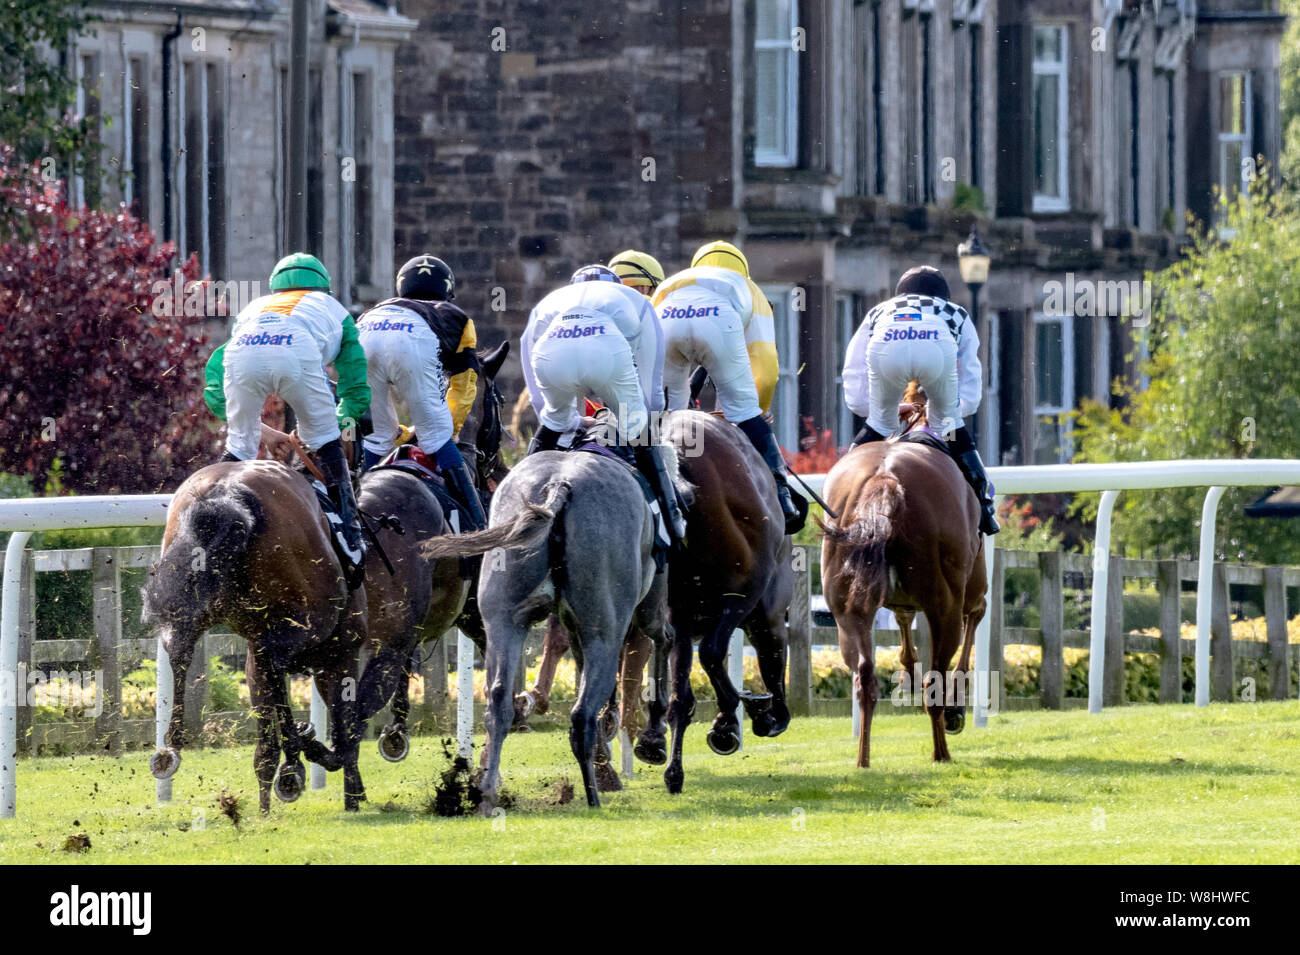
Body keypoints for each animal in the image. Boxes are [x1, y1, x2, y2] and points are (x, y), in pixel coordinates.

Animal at [140, 462, 369, 815]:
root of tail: (225, 492)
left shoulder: (254, 654)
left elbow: (267, 734)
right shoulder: (342, 652)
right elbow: (346, 734)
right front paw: (335, 774)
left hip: (190, 598)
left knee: (178, 648)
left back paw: (171, 747)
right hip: (307, 623)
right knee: (274, 664)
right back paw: (295, 758)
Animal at [426, 446, 676, 805]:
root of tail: (560, 486)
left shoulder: (570, 626)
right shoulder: (646, 607)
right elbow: (663, 640)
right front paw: (653, 738)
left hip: (505, 623)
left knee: (498, 701)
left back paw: (487, 792)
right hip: (606, 632)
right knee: (582, 713)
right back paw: (594, 796)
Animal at [821, 384, 982, 764]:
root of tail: (887, 476)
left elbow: (905, 625)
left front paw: (907, 666)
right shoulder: (973, 591)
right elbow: (973, 621)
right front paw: (956, 710)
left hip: (843, 609)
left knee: (864, 677)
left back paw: (863, 760)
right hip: (945, 604)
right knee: (934, 680)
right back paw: (941, 752)